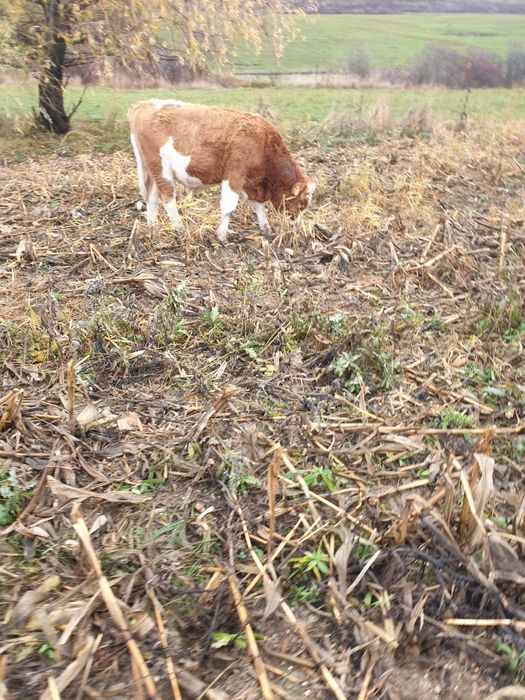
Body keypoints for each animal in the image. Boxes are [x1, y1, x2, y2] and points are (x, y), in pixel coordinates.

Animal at [128, 98, 315, 242]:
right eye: (302, 203)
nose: (296, 227)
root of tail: (142, 104)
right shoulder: (234, 175)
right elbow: (229, 207)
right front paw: (222, 235)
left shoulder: (254, 183)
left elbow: (258, 206)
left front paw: (266, 228)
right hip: (161, 168)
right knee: (168, 197)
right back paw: (179, 228)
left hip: (152, 169)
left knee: (152, 197)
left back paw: (153, 228)